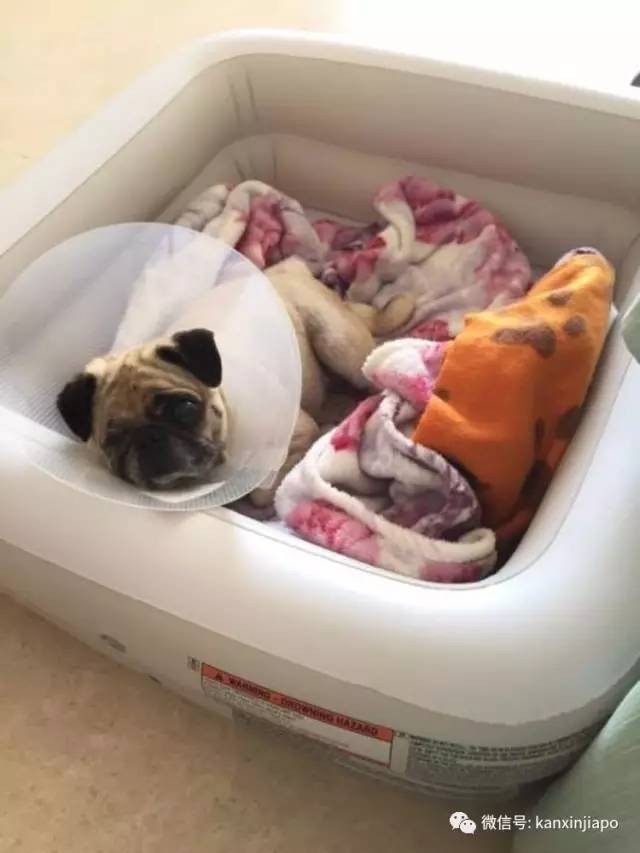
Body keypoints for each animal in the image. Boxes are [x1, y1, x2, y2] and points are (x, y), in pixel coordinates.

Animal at [57, 256, 413, 501]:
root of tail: (288, 269)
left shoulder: (297, 432)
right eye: (113, 439)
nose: (151, 438)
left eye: (185, 408)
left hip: (340, 344)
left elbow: (262, 492)